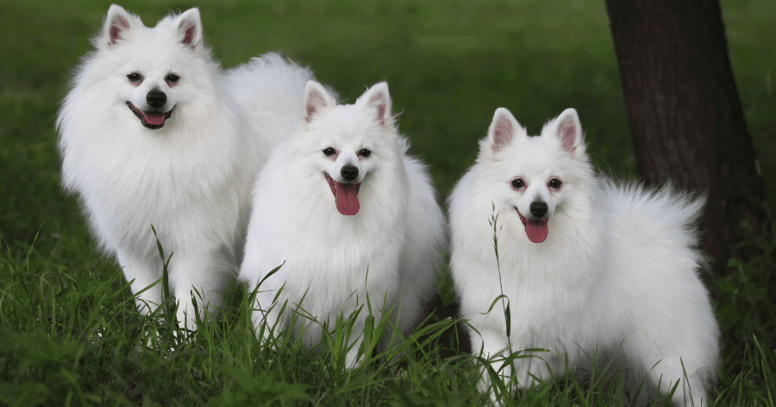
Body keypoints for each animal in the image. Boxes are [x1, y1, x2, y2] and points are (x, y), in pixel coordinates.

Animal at [242, 79, 448, 366]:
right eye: (329, 151)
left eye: (364, 153)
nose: (349, 171)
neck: (333, 219)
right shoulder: (275, 287)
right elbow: (268, 335)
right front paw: (267, 364)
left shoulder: (360, 298)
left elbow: (353, 350)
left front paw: (350, 373)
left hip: (403, 299)